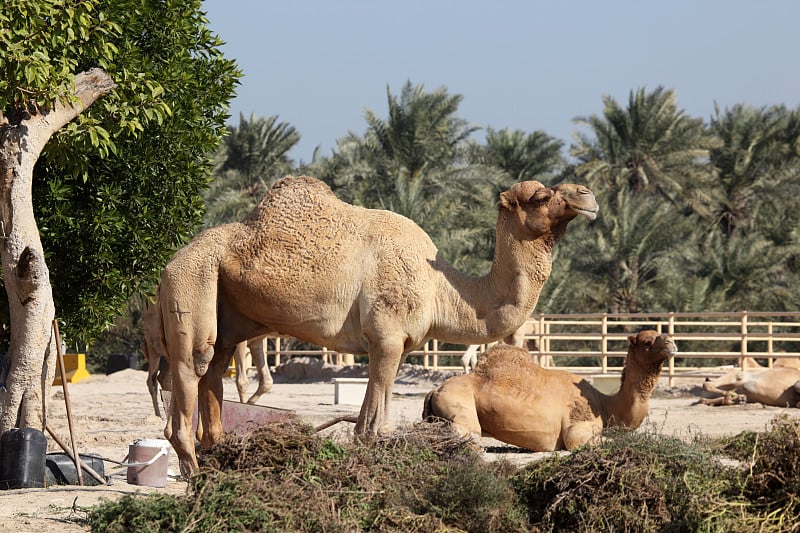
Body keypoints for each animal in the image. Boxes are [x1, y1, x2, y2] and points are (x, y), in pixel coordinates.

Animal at [159, 177, 596, 476]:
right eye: (541, 196)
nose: (587, 195)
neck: (439, 286)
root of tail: (170, 262)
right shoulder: (385, 336)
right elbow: (372, 425)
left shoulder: (398, 344)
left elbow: (370, 418)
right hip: (191, 282)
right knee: (192, 367)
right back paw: (195, 475)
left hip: (228, 313)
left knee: (214, 369)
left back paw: (218, 459)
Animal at [422, 330, 680, 450]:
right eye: (647, 342)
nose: (672, 343)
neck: (605, 406)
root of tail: (435, 390)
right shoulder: (577, 431)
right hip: (460, 407)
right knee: (470, 436)